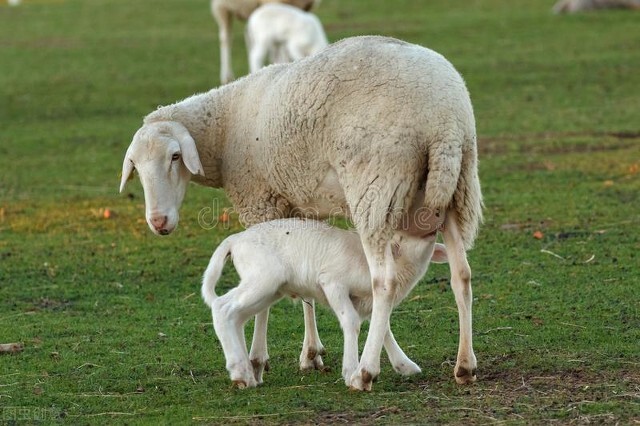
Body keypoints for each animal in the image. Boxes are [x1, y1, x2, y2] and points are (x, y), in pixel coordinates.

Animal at [202, 218, 448, 388]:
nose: (434, 228)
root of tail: (234, 240)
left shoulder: (366, 300)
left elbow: (382, 325)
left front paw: (405, 365)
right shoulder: (332, 282)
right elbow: (352, 322)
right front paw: (352, 371)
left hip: (270, 288)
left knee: (236, 317)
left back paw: (245, 371)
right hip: (262, 278)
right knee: (222, 307)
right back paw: (240, 371)